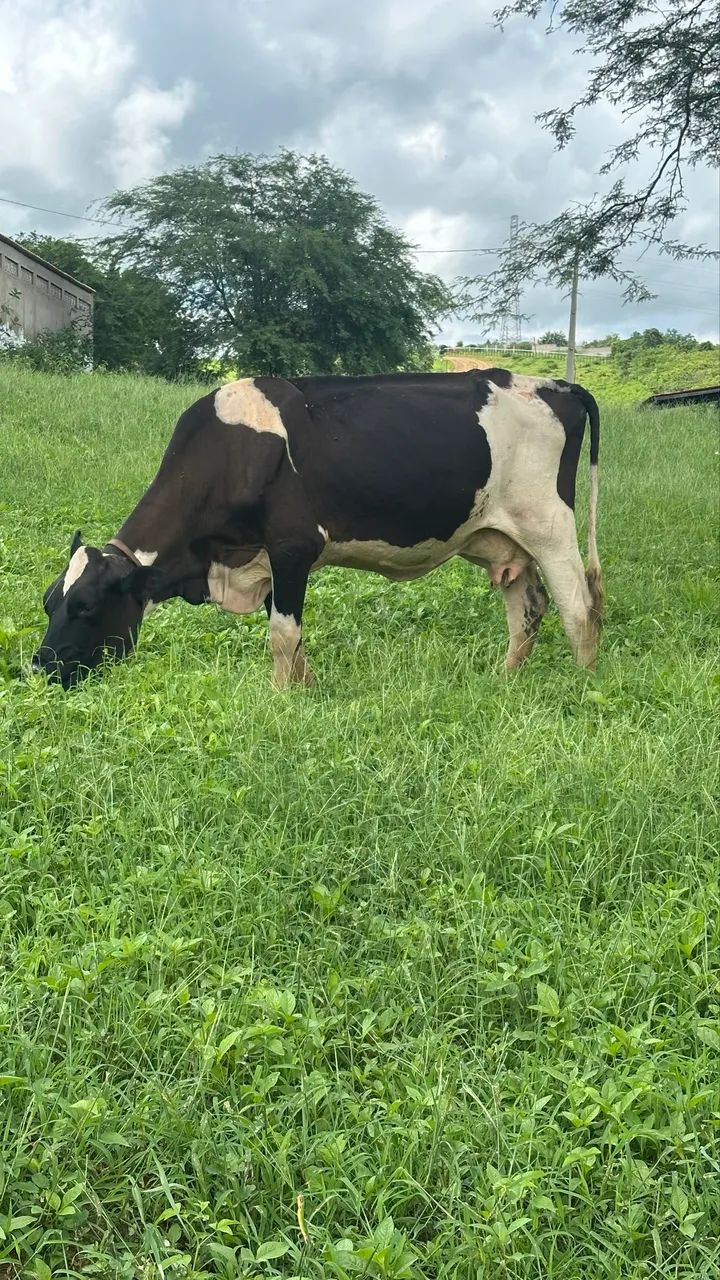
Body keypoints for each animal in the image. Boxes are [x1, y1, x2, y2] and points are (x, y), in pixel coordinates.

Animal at [32, 368, 602, 689]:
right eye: (48, 603)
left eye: (86, 607)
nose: (40, 668)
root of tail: (554, 383)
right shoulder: (264, 559)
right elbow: (293, 636)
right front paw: (304, 690)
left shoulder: (291, 548)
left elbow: (282, 635)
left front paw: (282, 699)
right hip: (504, 539)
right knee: (528, 609)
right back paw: (506, 680)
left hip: (549, 524)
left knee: (579, 606)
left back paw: (581, 687)